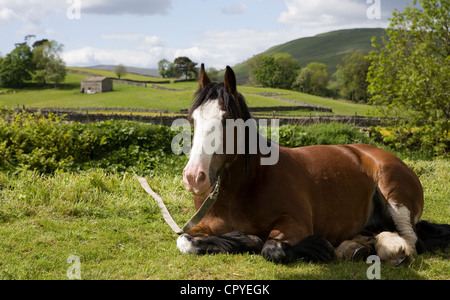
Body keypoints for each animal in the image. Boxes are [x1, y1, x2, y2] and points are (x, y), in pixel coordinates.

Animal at [177, 63, 450, 264]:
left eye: (227, 120)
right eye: (192, 119)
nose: (194, 177)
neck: (244, 189)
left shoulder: (295, 224)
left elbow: (272, 249)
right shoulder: (202, 226)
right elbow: (185, 242)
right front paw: (245, 238)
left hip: (395, 196)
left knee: (411, 240)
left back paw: (389, 249)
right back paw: (355, 247)